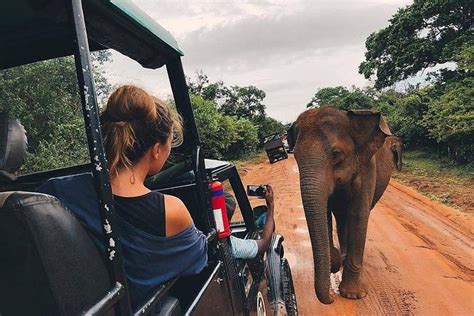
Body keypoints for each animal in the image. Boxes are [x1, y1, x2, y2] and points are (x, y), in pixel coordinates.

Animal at [286, 106, 402, 304]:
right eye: (295, 156)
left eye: (336, 154)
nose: (331, 299)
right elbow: (324, 211)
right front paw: (334, 263)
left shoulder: (367, 167)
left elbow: (358, 214)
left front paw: (353, 295)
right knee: (340, 217)